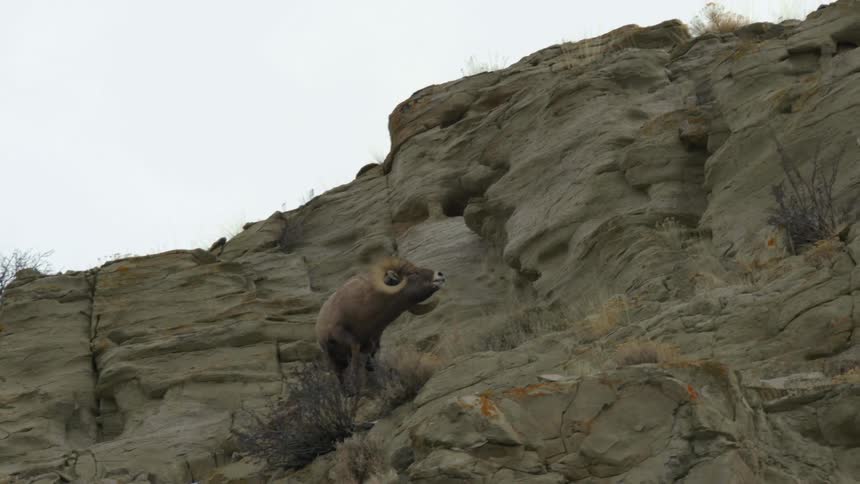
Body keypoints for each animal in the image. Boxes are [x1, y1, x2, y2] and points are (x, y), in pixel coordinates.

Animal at [315, 257, 445, 381]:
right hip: (335, 363)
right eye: (413, 273)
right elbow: (355, 369)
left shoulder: (373, 347)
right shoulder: (346, 338)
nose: (440, 275)